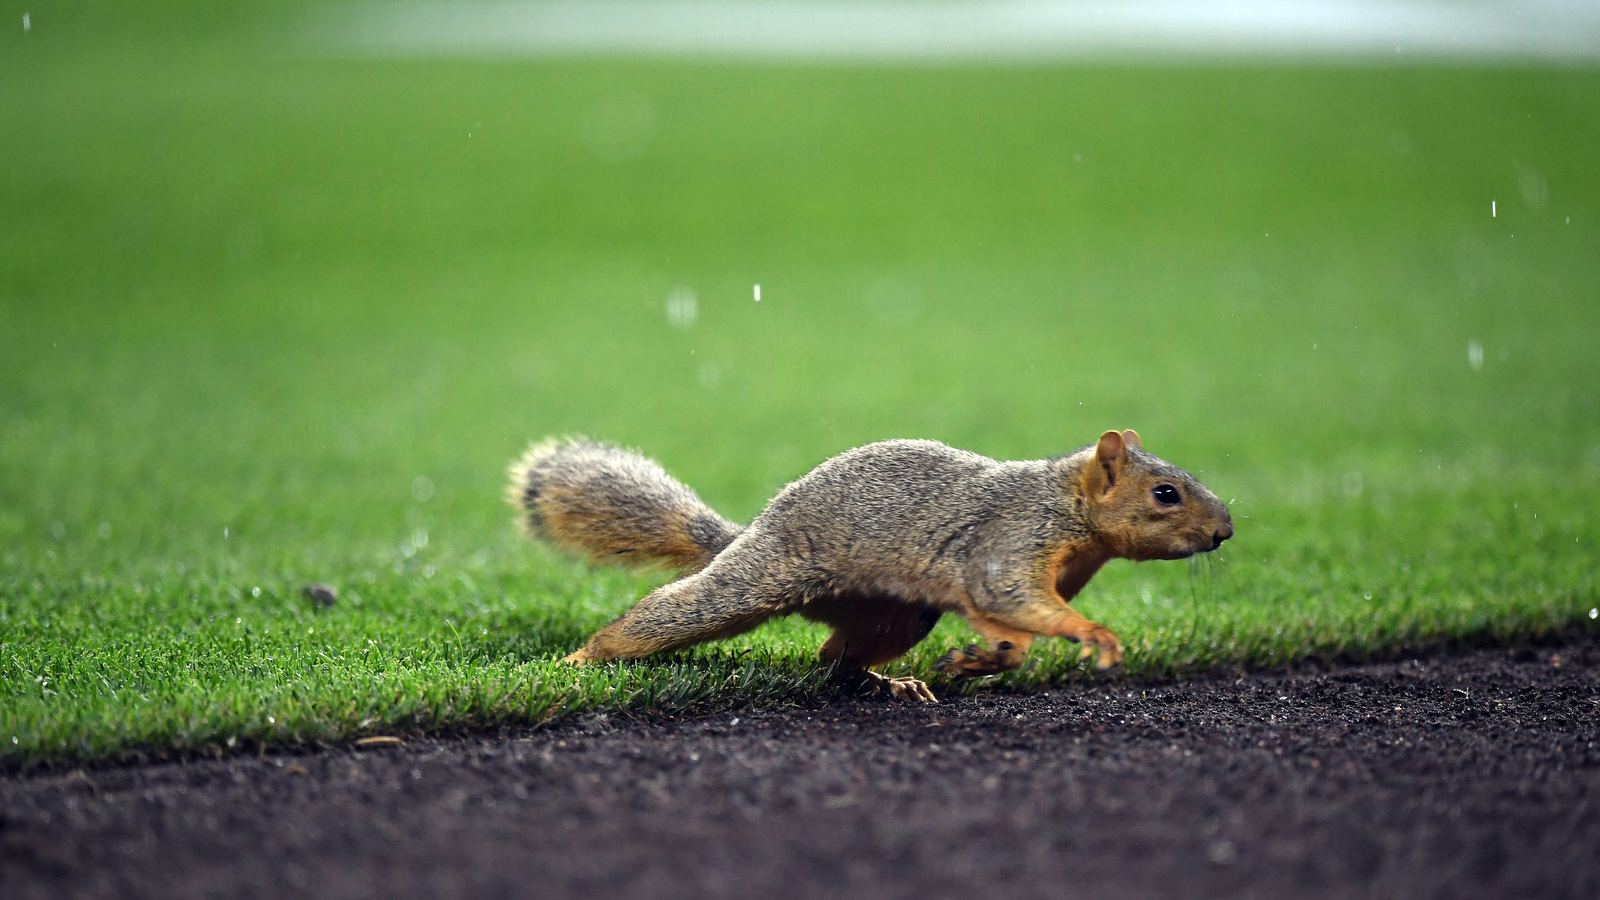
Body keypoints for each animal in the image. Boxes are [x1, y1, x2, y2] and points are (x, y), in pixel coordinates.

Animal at [507, 430, 1232, 702]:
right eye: (1166, 494)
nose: (1225, 531)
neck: (1068, 506)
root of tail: (755, 529)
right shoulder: (1007, 544)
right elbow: (1009, 600)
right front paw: (1093, 636)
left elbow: (1011, 631)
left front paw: (978, 661)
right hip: (759, 580)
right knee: (669, 615)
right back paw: (581, 659)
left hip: (900, 615)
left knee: (835, 655)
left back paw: (892, 683)